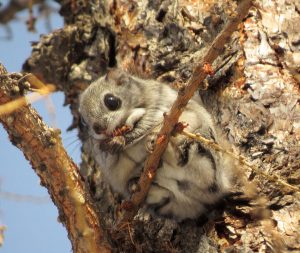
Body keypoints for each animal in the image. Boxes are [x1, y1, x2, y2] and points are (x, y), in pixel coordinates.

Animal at [79, 68, 232, 220]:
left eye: (111, 101)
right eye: (83, 122)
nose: (98, 129)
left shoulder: (159, 107)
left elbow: (145, 124)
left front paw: (121, 140)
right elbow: (106, 155)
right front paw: (107, 145)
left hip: (201, 145)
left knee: (188, 160)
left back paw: (165, 147)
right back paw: (135, 183)